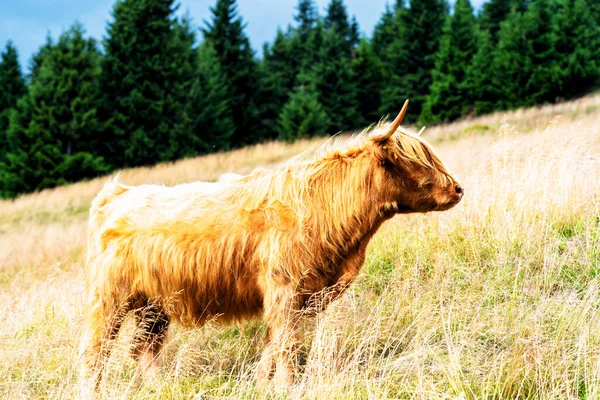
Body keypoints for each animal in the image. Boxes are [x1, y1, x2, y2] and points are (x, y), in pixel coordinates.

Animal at [79, 101, 464, 390]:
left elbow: (274, 345)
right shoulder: (284, 290)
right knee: (96, 351)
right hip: (109, 298)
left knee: (143, 349)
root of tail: (116, 194)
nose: (458, 189)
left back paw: (162, 387)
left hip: (154, 306)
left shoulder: (309, 295)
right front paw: (286, 386)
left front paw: (263, 384)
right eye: (417, 162)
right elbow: (286, 346)